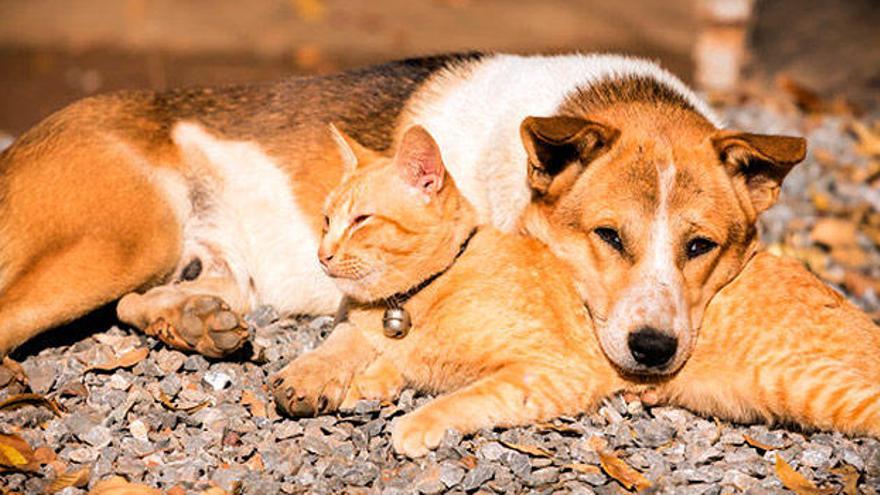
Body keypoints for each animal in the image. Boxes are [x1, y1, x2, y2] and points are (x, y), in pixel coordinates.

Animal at [1, 53, 812, 380]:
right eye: (608, 236)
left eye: (701, 246)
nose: (652, 348)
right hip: (128, 237)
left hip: (203, 265)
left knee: (145, 302)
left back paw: (193, 323)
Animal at [270, 126, 880, 460]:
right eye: (325, 219)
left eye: (362, 221)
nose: (322, 253)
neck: (419, 297)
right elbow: (385, 364)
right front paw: (359, 382)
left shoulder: (548, 373)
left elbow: (463, 396)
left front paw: (414, 422)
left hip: (817, 388)